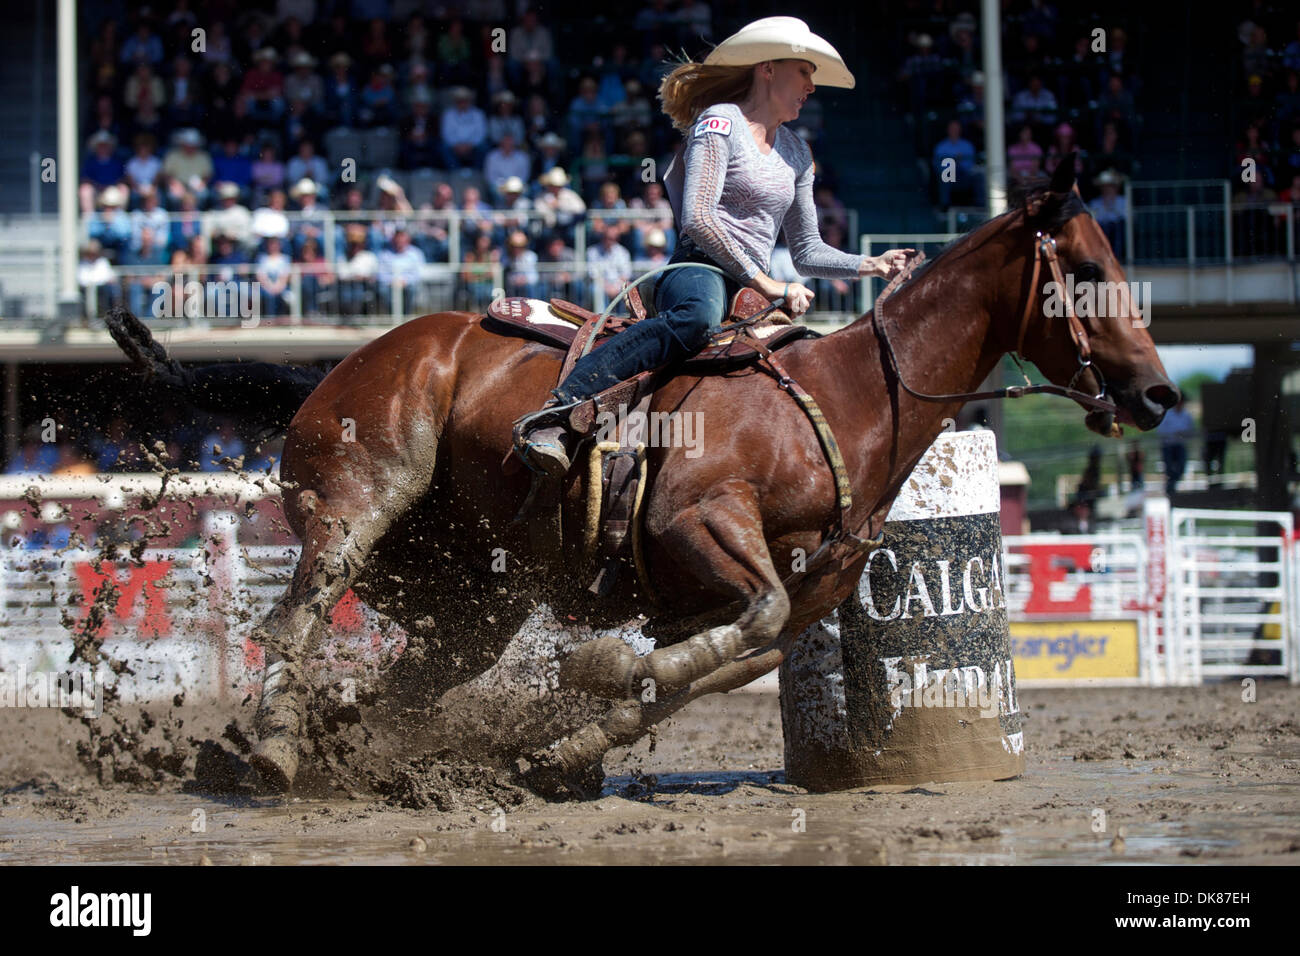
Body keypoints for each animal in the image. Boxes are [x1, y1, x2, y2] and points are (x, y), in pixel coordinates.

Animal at [106, 160, 1175, 796]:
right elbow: (732, 631)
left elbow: (729, 657)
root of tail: (335, 363)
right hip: (354, 509)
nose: (1160, 394)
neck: (849, 403)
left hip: (469, 600)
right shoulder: (694, 527)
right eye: (1084, 270)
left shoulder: (791, 592)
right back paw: (272, 750)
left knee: (408, 681)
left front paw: (568, 746)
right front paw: (595, 670)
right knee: (292, 620)